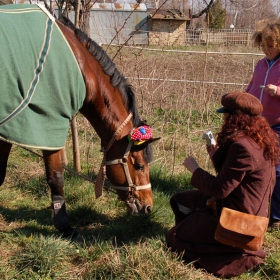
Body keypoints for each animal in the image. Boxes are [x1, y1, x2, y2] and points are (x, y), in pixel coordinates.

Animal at [0, 3, 158, 241]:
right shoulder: (47, 123)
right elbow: (56, 176)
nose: (148, 206)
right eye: (139, 165)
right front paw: (64, 226)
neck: (81, 67)